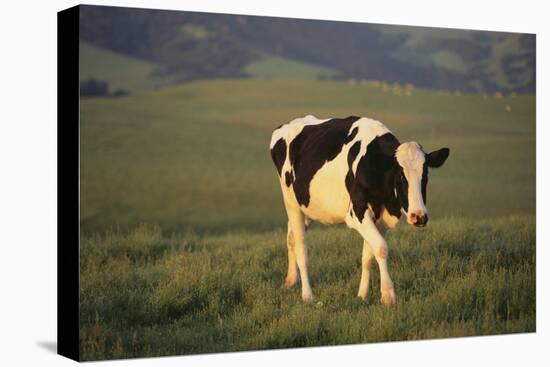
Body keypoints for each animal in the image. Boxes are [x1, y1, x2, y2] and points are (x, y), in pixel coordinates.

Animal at [270, 115, 450, 304]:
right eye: (401, 176)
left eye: (425, 175)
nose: (419, 217)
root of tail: (287, 124)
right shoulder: (357, 213)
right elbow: (381, 248)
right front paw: (388, 295)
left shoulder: (381, 218)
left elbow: (368, 256)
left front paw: (363, 294)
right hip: (291, 202)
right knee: (301, 246)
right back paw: (307, 294)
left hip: (308, 207)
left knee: (290, 236)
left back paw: (290, 280)